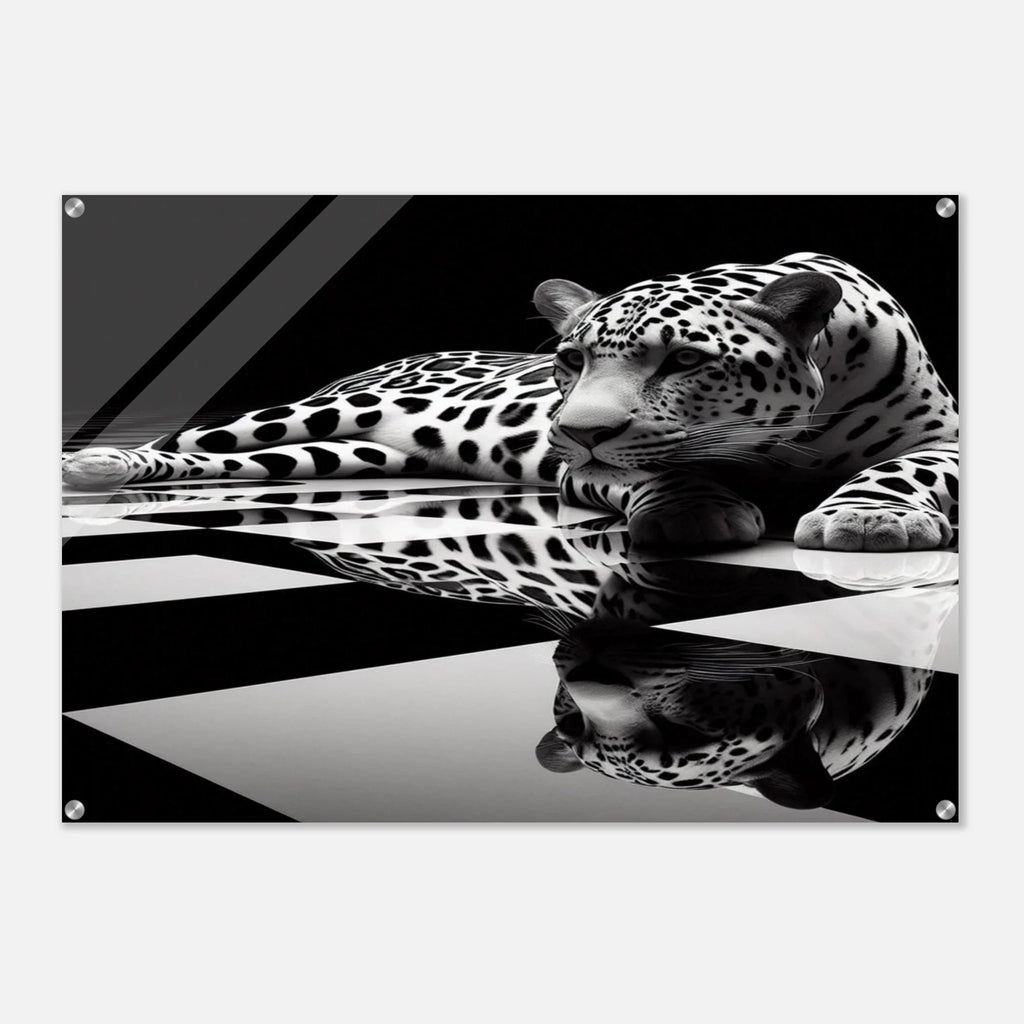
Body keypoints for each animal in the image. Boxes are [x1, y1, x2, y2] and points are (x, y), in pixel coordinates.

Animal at [62, 253, 959, 552]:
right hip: (312, 416)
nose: (576, 430)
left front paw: (871, 517)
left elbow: (906, 471)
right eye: (569, 360)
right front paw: (694, 510)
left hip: (345, 453)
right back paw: (96, 466)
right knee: (195, 439)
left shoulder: (946, 441)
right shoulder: (582, 472)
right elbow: (656, 470)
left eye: (684, 359)